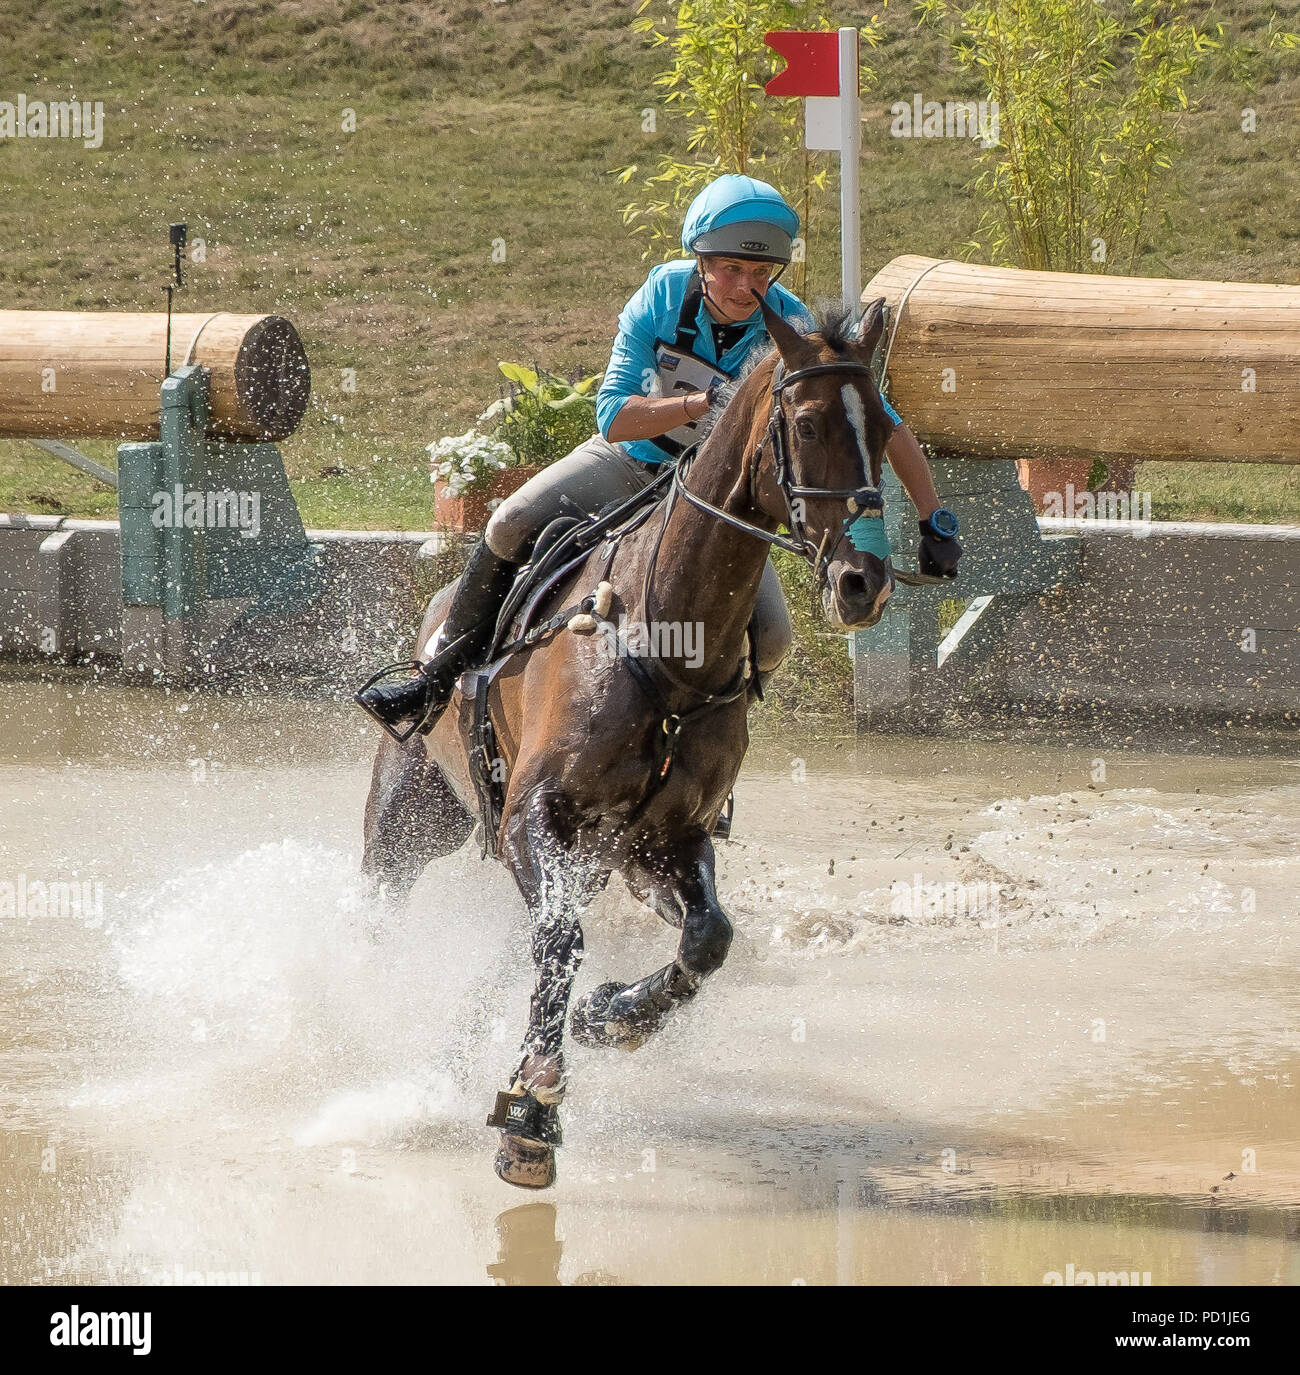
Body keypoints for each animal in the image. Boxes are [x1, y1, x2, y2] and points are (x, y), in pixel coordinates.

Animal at [360, 292, 896, 1193]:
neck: (668, 644)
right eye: (809, 421)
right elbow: (559, 941)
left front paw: (613, 1017)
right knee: (382, 900)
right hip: (413, 813)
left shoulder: (658, 843)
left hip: (575, 854)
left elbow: (706, 940)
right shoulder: (533, 816)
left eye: (886, 427)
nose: (865, 580)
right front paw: (532, 1112)